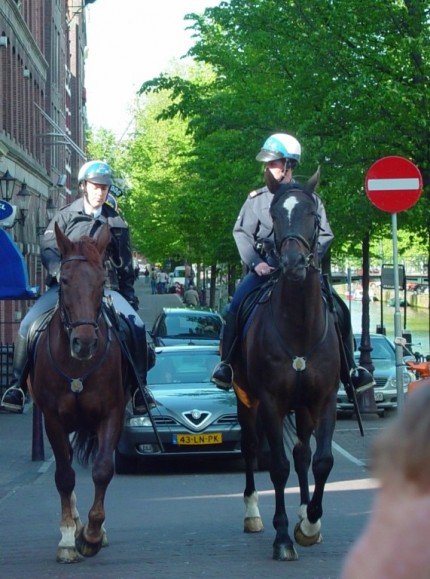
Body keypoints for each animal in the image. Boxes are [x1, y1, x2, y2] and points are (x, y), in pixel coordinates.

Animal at [28, 224, 126, 564]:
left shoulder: (112, 414)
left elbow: (103, 469)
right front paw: (70, 539)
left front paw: (92, 536)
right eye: (65, 279)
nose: (84, 343)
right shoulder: (53, 420)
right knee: (66, 467)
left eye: (101, 281)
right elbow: (64, 476)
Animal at [233, 168, 340, 560]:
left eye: (312, 214)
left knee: (303, 453)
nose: (292, 263)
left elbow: (321, 460)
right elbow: (277, 468)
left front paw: (309, 524)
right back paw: (252, 514)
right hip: (246, 400)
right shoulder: (270, 402)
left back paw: (305, 514)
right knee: (250, 448)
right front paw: (283, 538)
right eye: (275, 215)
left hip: (304, 408)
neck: (298, 329)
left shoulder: (324, 400)